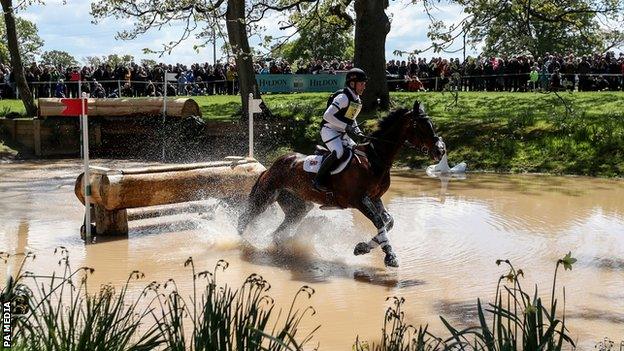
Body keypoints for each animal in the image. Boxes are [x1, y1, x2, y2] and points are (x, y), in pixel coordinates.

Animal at [236, 100, 446, 268]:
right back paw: (242, 243)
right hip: (265, 197)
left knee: (278, 232)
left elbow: (388, 222)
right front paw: (390, 256)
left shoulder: (375, 198)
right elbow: (379, 222)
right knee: (244, 220)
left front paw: (362, 248)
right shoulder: (359, 201)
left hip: (299, 207)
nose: (440, 151)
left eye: (431, 125)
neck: (375, 159)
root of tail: (272, 165)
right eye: (421, 126)